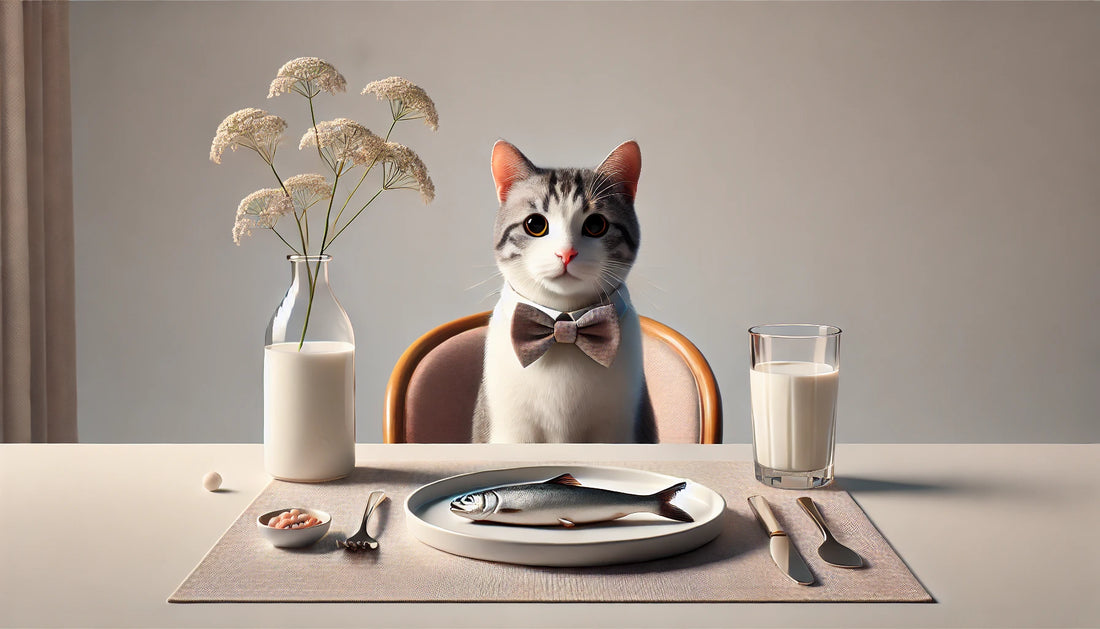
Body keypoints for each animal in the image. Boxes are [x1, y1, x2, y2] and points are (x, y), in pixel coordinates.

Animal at [470, 138, 651, 442]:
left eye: (596, 224)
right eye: (535, 224)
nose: (566, 253)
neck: (562, 324)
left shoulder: (616, 427)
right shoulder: (511, 429)